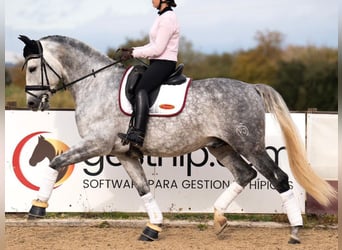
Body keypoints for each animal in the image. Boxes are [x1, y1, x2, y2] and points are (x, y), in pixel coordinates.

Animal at [18, 34, 334, 243]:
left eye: (33, 68)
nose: (32, 104)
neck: (97, 85)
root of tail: (251, 88)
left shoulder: (97, 144)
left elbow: (56, 162)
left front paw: (37, 208)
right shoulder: (123, 153)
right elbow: (143, 189)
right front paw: (153, 227)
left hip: (250, 145)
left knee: (278, 178)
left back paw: (295, 232)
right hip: (220, 146)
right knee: (245, 174)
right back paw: (219, 218)